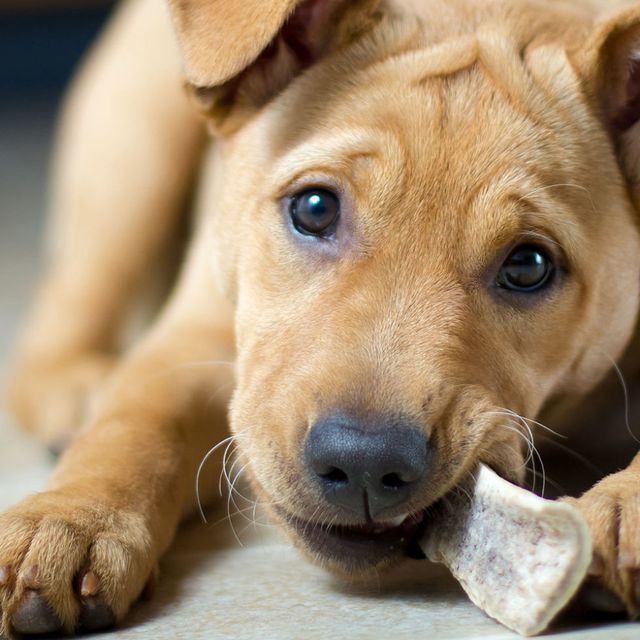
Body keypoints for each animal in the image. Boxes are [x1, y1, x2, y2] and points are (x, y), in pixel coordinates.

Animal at [1, 0, 640, 636]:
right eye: (314, 209)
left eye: (529, 265)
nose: (365, 467)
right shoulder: (197, 333)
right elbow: (137, 420)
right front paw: (69, 520)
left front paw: (626, 509)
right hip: (135, 153)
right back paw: (76, 396)